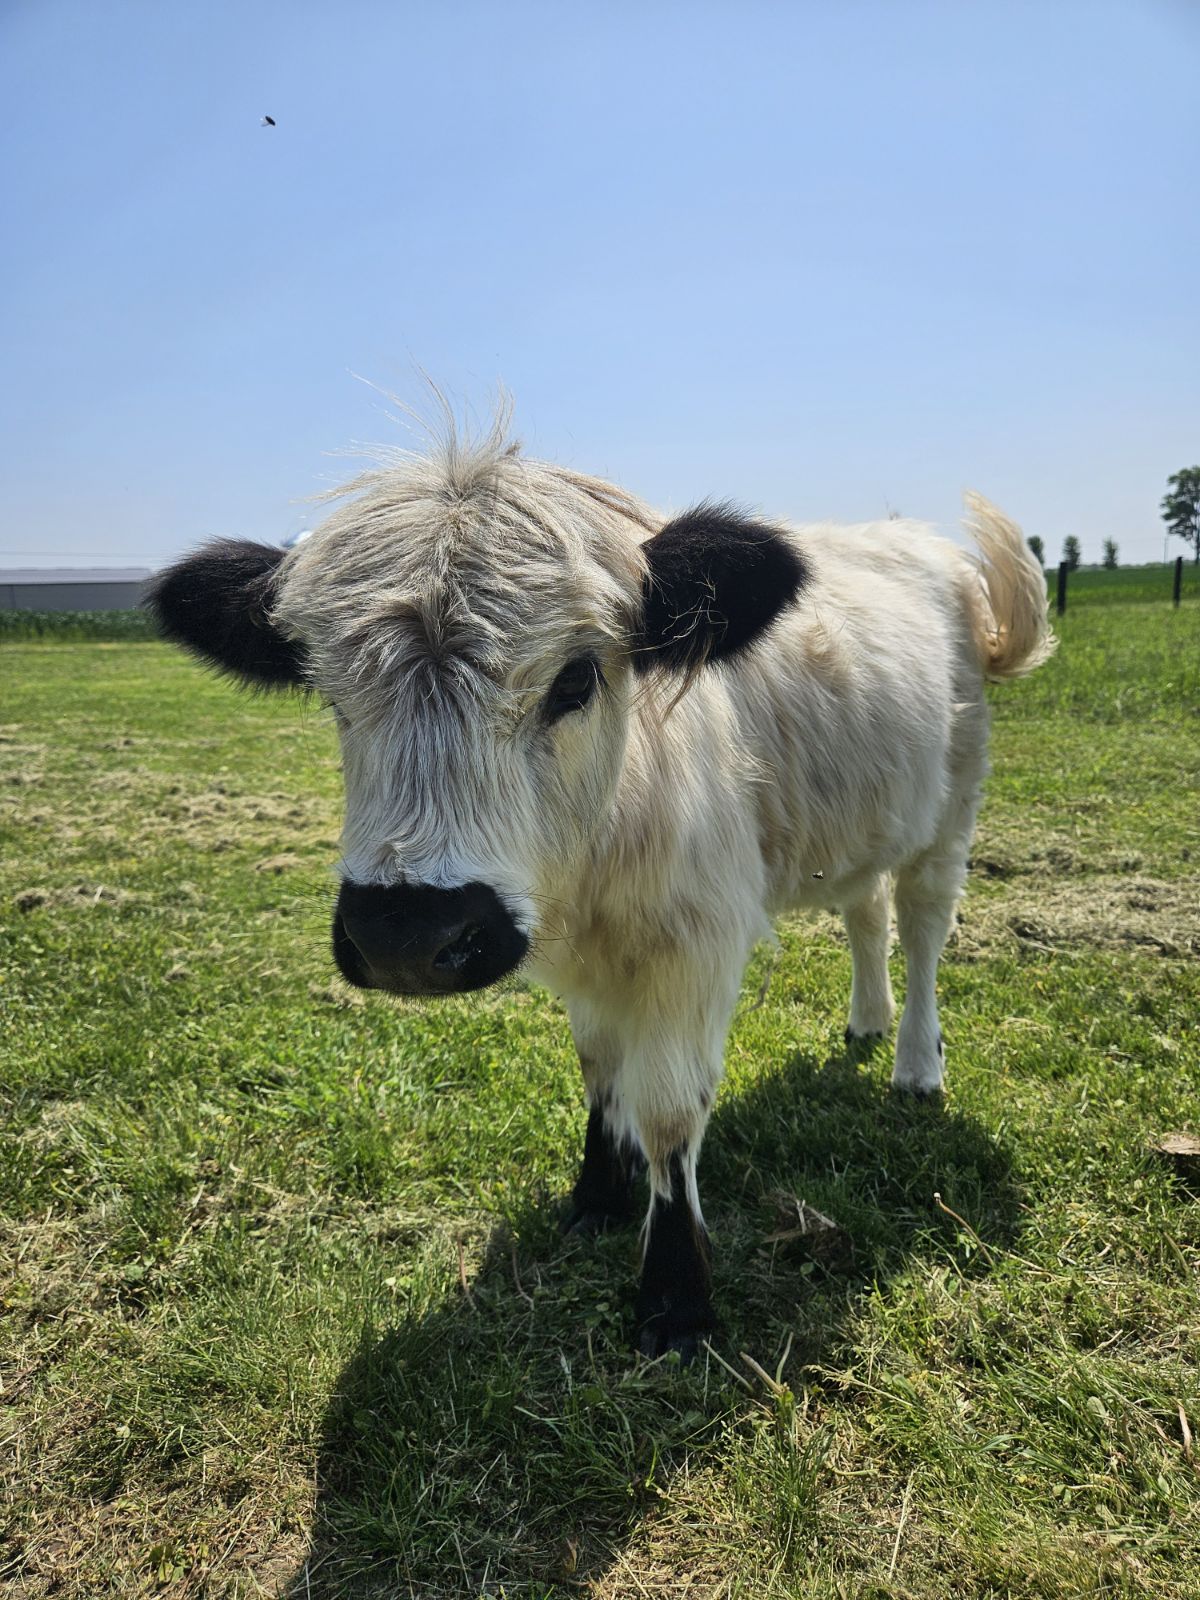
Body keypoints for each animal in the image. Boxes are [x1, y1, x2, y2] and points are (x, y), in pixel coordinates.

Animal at [149, 413, 1054, 1360]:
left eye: (577, 677)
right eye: (329, 695)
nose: (404, 935)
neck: (594, 869)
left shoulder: (695, 944)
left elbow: (668, 1111)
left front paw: (676, 1294)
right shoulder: (581, 957)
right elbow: (598, 1070)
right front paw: (598, 1194)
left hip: (951, 811)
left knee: (920, 928)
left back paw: (916, 1064)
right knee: (865, 914)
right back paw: (867, 1022)